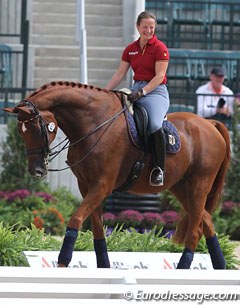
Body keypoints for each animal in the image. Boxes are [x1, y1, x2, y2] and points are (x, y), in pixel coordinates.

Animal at [2, 81, 231, 268]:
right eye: (21, 131)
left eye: (36, 128)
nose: (36, 170)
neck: (94, 123)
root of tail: (210, 124)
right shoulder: (86, 186)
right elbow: (97, 229)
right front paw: (103, 266)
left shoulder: (102, 186)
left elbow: (75, 220)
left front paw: (63, 263)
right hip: (181, 187)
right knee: (206, 221)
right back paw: (220, 266)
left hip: (199, 185)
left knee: (195, 229)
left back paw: (183, 269)